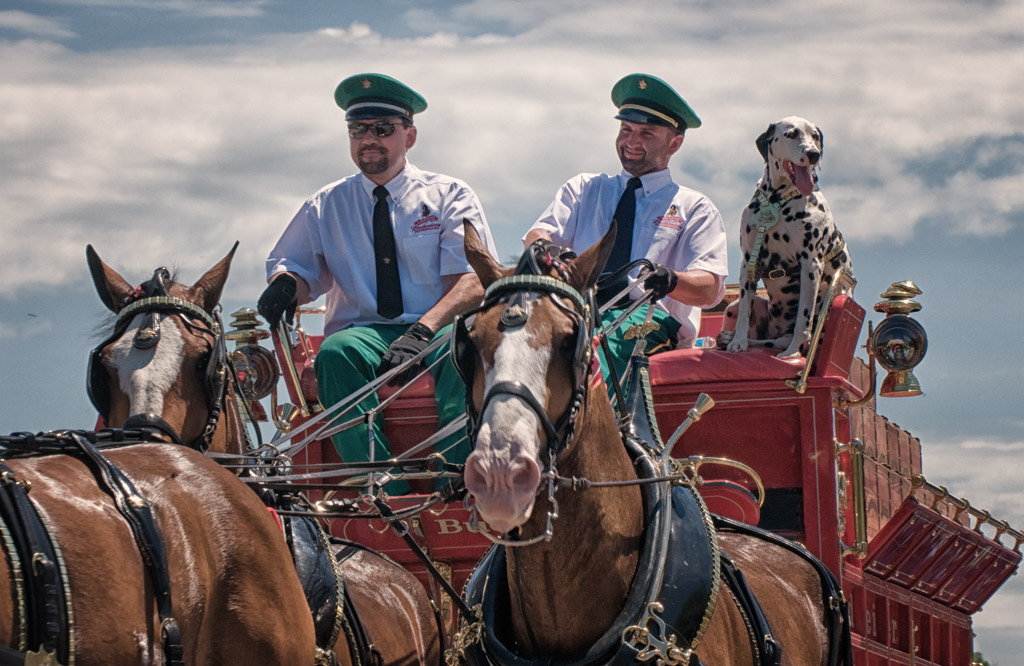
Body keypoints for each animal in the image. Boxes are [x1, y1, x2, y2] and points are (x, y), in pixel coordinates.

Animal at [720, 116, 856, 360]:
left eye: (815, 136)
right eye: (791, 134)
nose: (813, 154)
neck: (778, 200)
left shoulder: (810, 265)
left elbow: (803, 317)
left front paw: (792, 352)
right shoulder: (748, 262)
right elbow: (744, 310)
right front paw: (738, 342)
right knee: (765, 338)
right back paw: (729, 338)